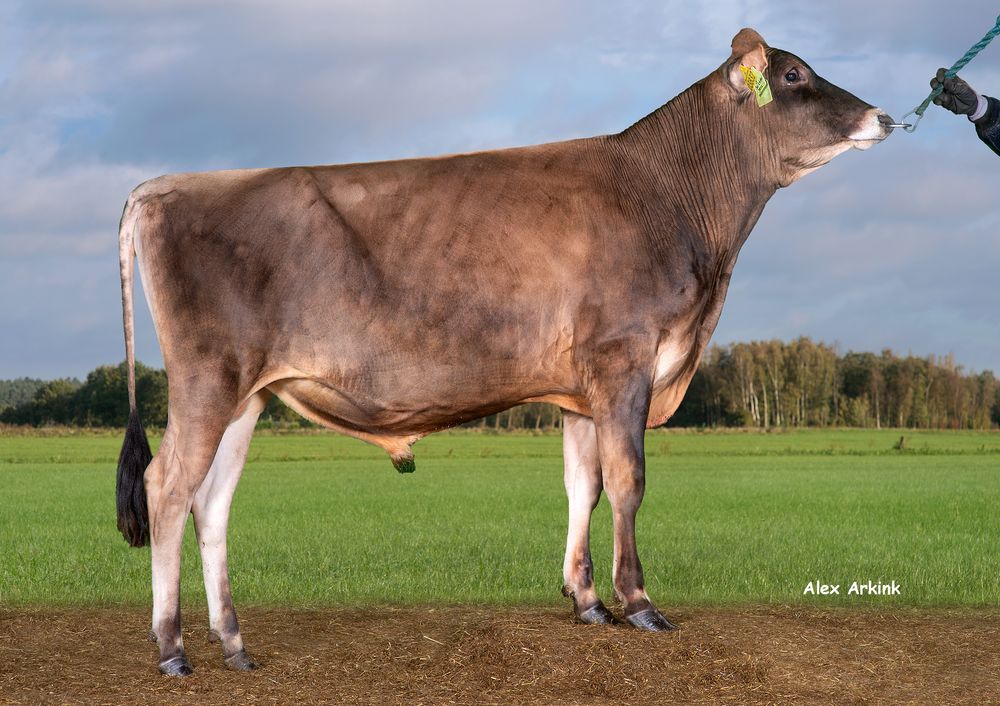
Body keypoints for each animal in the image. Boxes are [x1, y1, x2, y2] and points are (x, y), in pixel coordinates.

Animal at [116, 28, 893, 675]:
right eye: (793, 75)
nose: (883, 117)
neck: (672, 202)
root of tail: (163, 185)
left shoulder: (580, 388)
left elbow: (584, 485)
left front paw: (587, 602)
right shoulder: (625, 359)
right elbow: (630, 481)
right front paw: (639, 604)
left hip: (247, 394)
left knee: (212, 504)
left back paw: (234, 644)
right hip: (207, 378)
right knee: (167, 488)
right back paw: (173, 647)